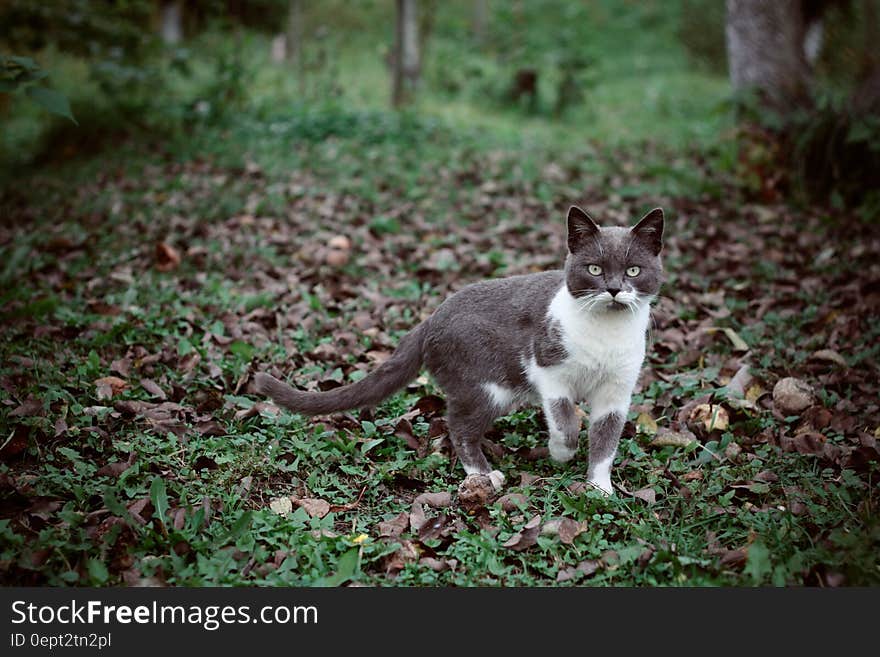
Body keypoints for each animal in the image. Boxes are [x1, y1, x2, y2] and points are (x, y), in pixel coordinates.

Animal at [254, 205, 668, 492]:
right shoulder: (547, 367)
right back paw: (485, 475)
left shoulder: (617, 390)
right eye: (594, 269)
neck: (605, 335)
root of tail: (431, 319)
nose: (613, 289)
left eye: (633, 270)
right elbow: (565, 419)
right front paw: (561, 452)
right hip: (485, 382)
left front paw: (599, 487)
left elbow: (606, 439)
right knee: (459, 426)